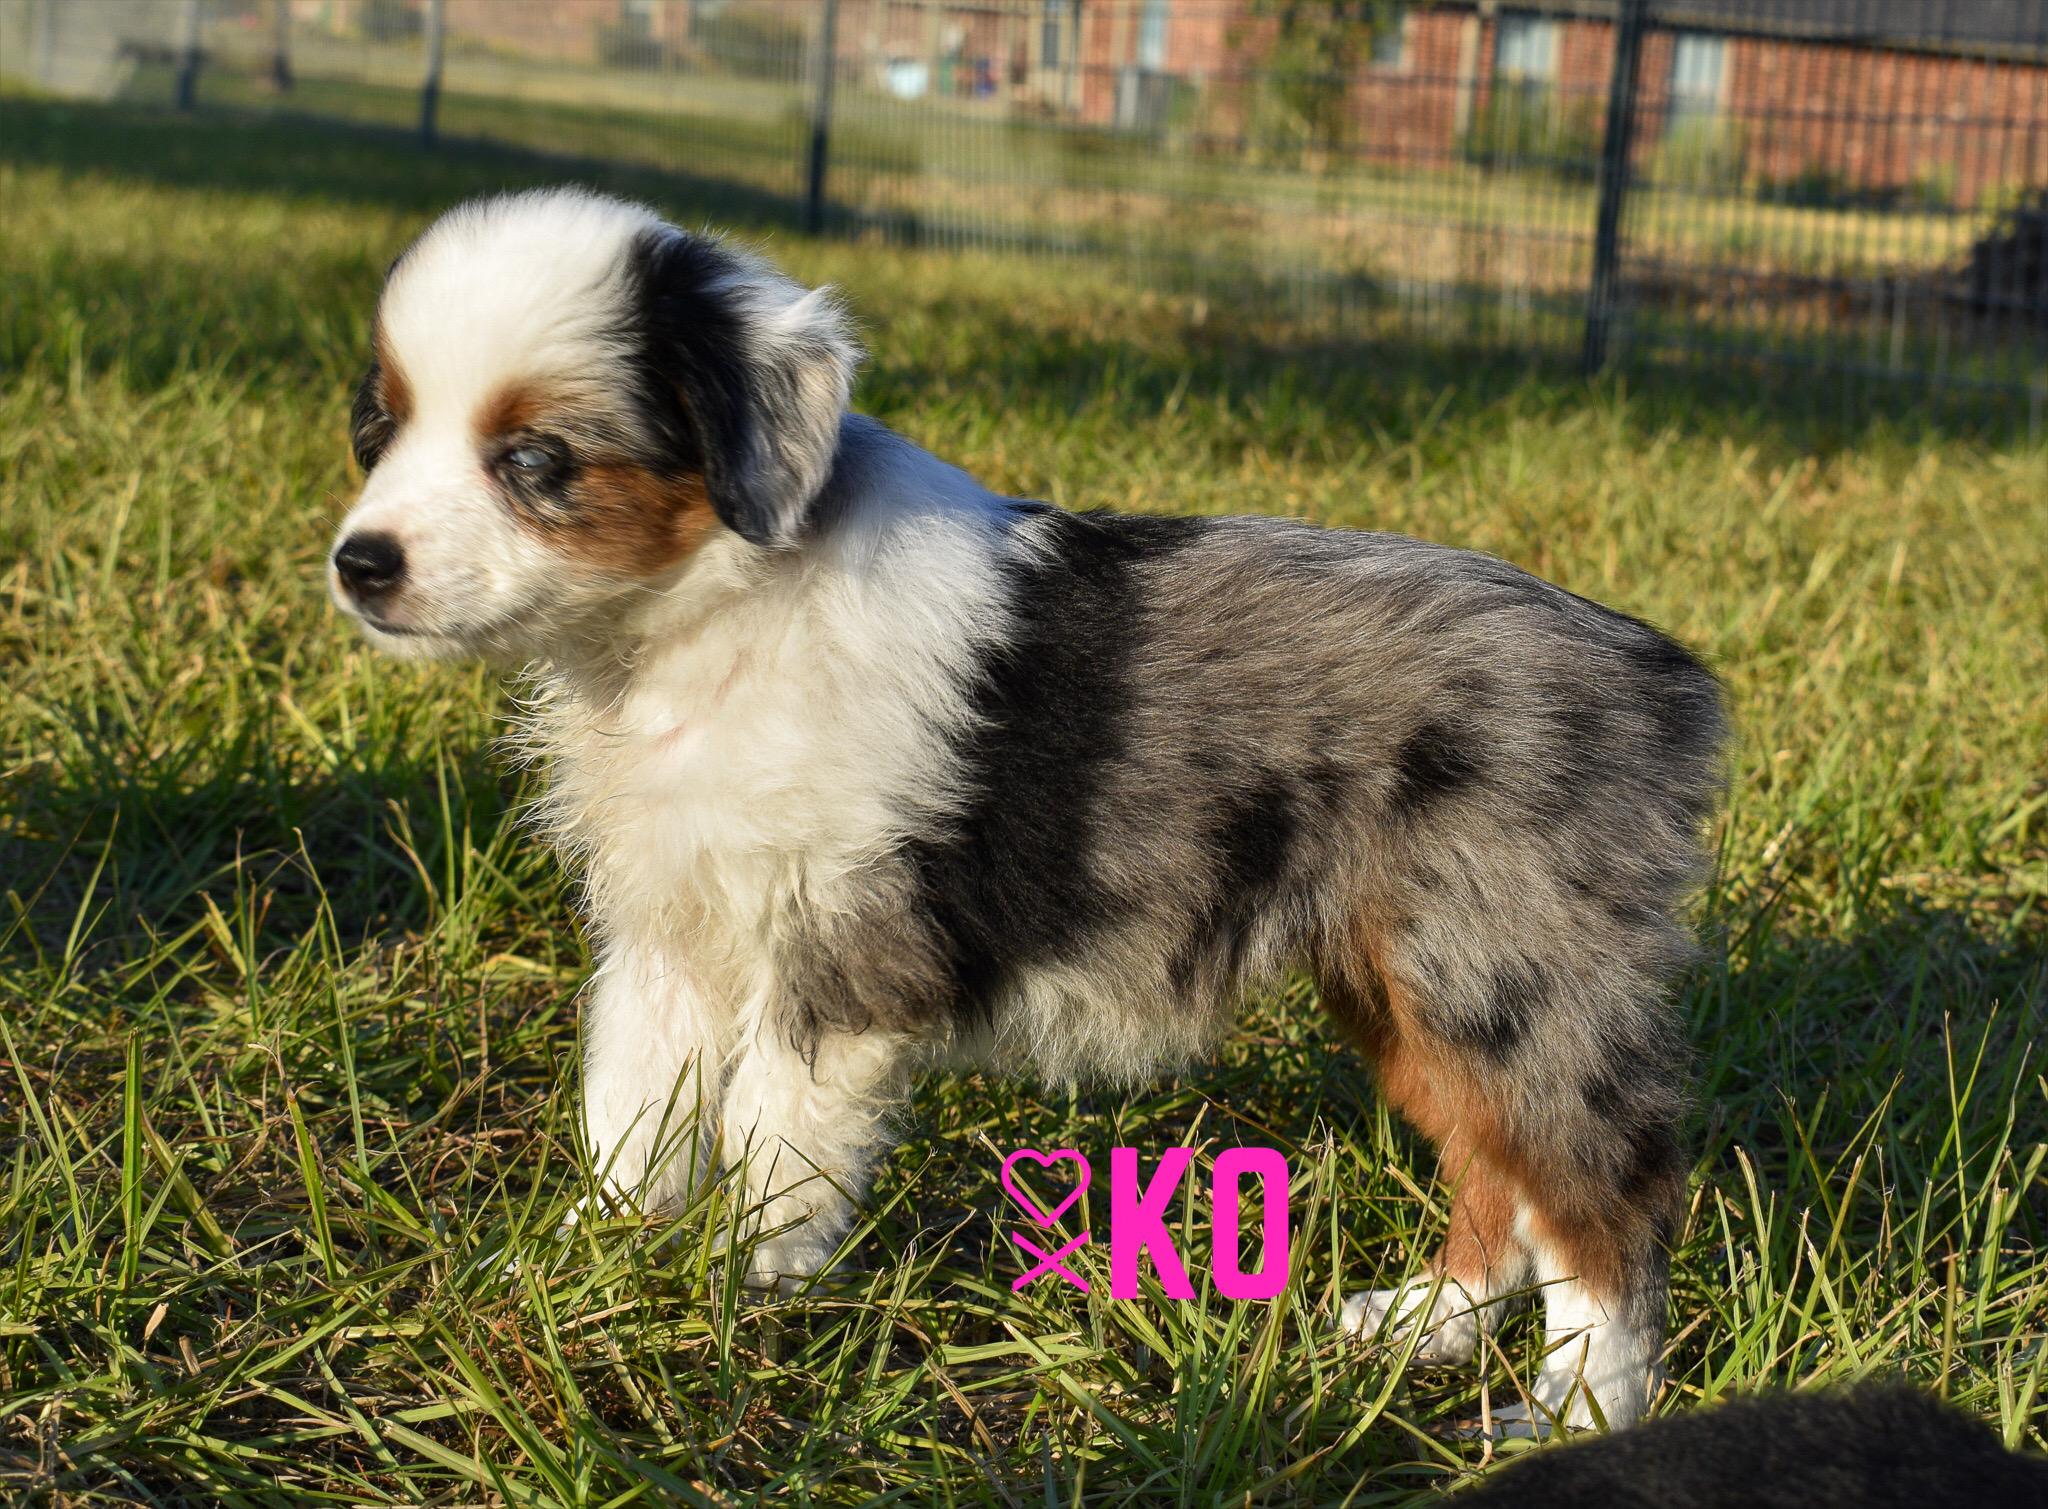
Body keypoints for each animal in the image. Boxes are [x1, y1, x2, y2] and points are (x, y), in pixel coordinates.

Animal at [328, 188, 1728, 1435]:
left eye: (535, 461)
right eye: (380, 432)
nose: (358, 564)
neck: (694, 623)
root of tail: (1658, 677)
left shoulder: (839, 952)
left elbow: (775, 1140)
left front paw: (729, 1297)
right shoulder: (669, 932)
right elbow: (635, 1111)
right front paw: (591, 1269)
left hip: (1504, 972)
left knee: (1601, 1198)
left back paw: (1577, 1412)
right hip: (1406, 984)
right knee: (1498, 1174)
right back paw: (1419, 1328)